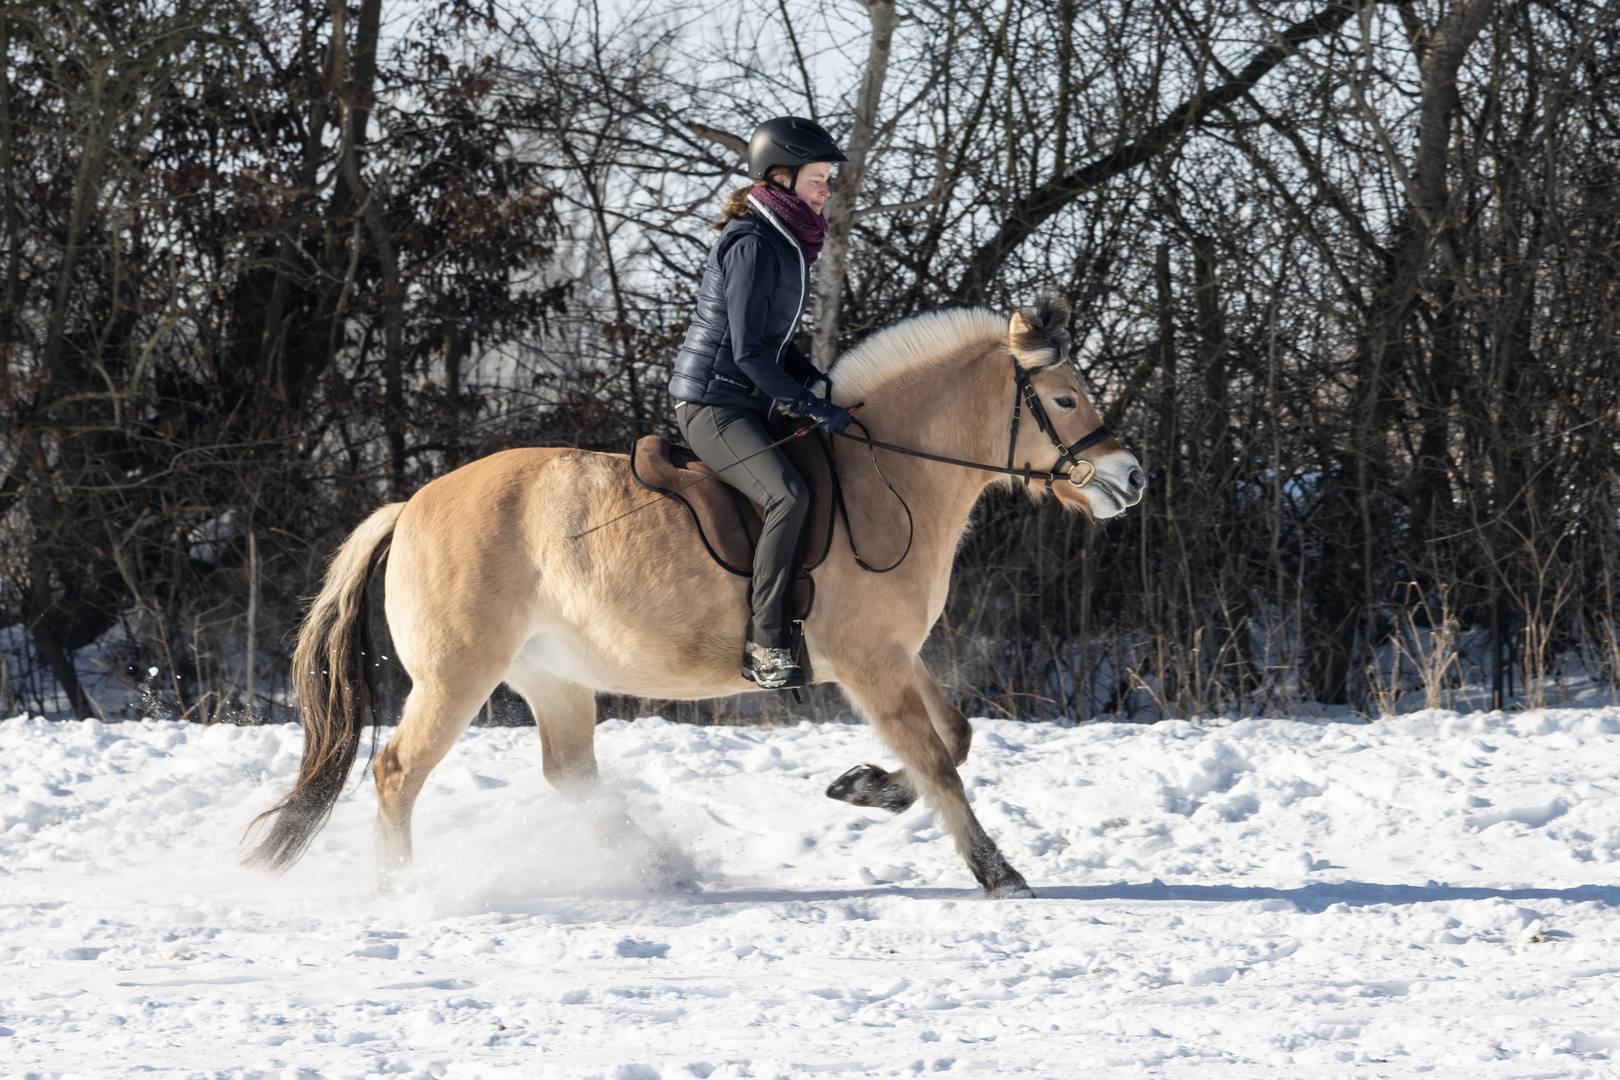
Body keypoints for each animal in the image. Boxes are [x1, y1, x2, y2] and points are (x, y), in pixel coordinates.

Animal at [246, 293, 1146, 893]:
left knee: (570, 777)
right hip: (456, 677)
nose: (1132, 479)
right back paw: (402, 890)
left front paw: (862, 786)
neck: (888, 477)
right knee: (397, 771)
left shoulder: (893, 657)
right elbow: (938, 762)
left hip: (553, 677)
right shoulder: (869, 662)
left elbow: (954, 738)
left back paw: (656, 868)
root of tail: (411, 506)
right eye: (1065, 398)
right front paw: (999, 873)